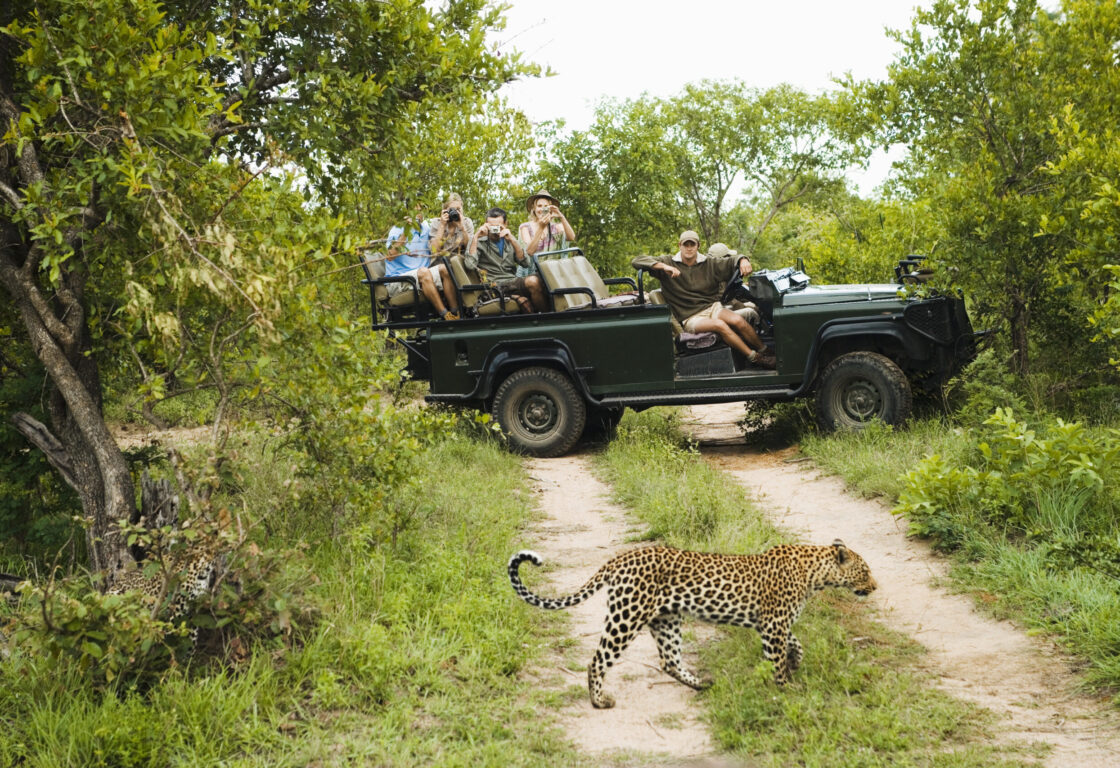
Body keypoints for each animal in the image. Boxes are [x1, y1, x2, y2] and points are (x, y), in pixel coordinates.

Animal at [508, 540, 877, 709]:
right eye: (866, 571)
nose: (875, 586)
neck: (815, 574)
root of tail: (619, 558)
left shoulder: (772, 624)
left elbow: (795, 642)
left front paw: (796, 661)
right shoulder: (773, 625)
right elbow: (778, 660)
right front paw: (788, 689)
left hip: (666, 619)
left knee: (669, 660)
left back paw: (701, 684)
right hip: (627, 616)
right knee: (598, 660)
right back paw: (600, 701)